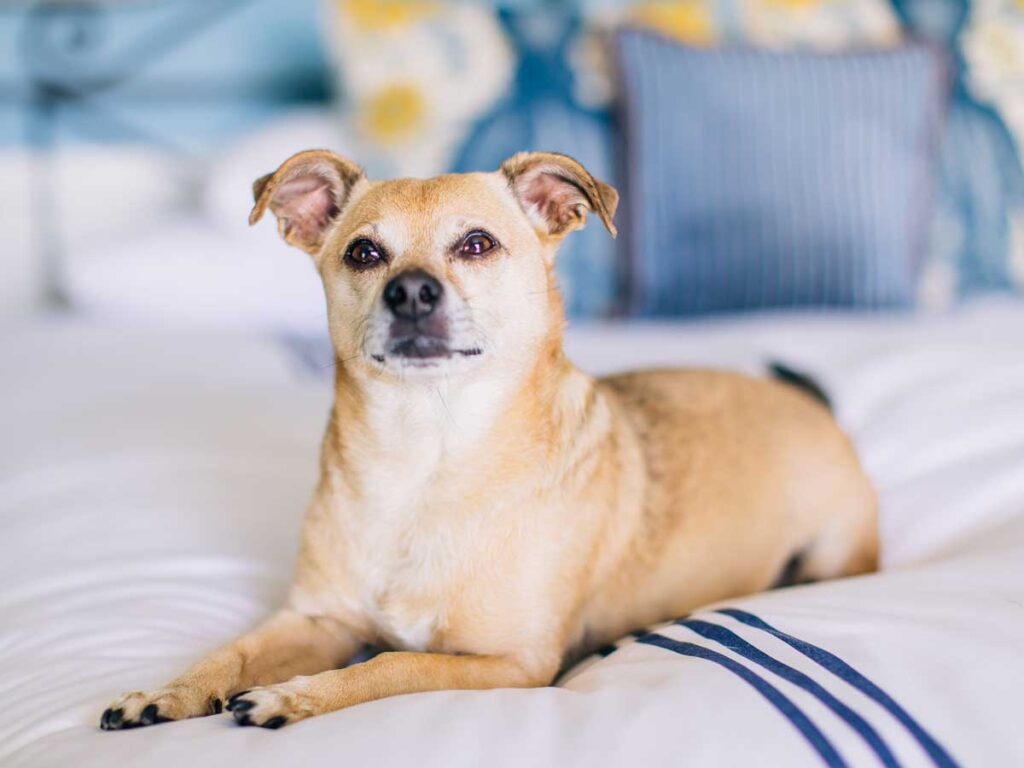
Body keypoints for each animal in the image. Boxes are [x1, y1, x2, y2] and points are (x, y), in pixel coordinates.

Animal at [99, 150, 876, 733]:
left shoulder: (513, 664)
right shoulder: (315, 618)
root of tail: (807, 402)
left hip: (837, 549)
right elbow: (233, 651)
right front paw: (169, 690)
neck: (427, 452)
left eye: (477, 244)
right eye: (363, 253)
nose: (411, 291)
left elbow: (390, 664)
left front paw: (297, 694)